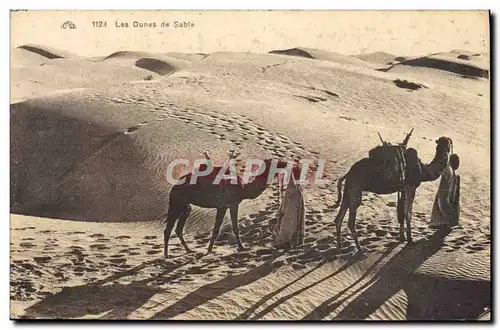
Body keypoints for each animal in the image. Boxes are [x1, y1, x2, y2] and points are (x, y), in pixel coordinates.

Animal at [164, 151, 292, 260]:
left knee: (178, 228)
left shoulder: (225, 206)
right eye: (277, 162)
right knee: (168, 228)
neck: (244, 188)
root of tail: (173, 187)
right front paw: (240, 248)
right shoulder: (229, 204)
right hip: (177, 202)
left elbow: (223, 228)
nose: (286, 163)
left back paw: (188, 250)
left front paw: (212, 249)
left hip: (186, 206)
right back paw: (166, 255)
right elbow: (230, 228)